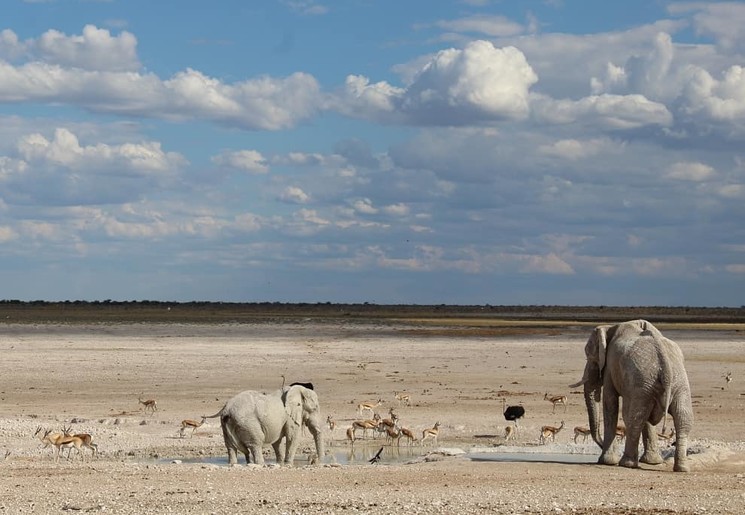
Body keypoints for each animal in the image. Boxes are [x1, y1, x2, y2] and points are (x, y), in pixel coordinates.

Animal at [568, 320, 692, 474]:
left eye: (590, 356)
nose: (601, 445)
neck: (610, 327)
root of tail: (666, 366)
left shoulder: (610, 366)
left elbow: (610, 403)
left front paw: (607, 461)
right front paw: (652, 462)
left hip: (646, 381)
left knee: (634, 418)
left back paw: (626, 463)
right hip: (674, 382)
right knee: (683, 419)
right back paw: (682, 468)